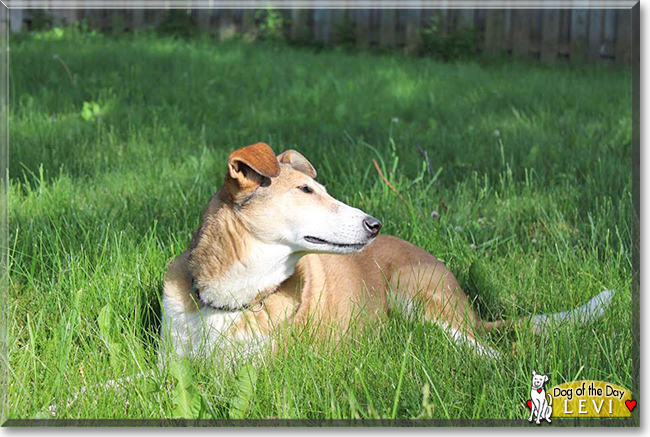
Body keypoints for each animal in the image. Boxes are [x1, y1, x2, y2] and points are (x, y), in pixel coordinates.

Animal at [159, 141, 616, 360]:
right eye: (306, 190)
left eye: (319, 188)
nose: (375, 225)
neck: (229, 297)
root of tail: (469, 309)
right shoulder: (172, 361)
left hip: (420, 300)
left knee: (488, 351)